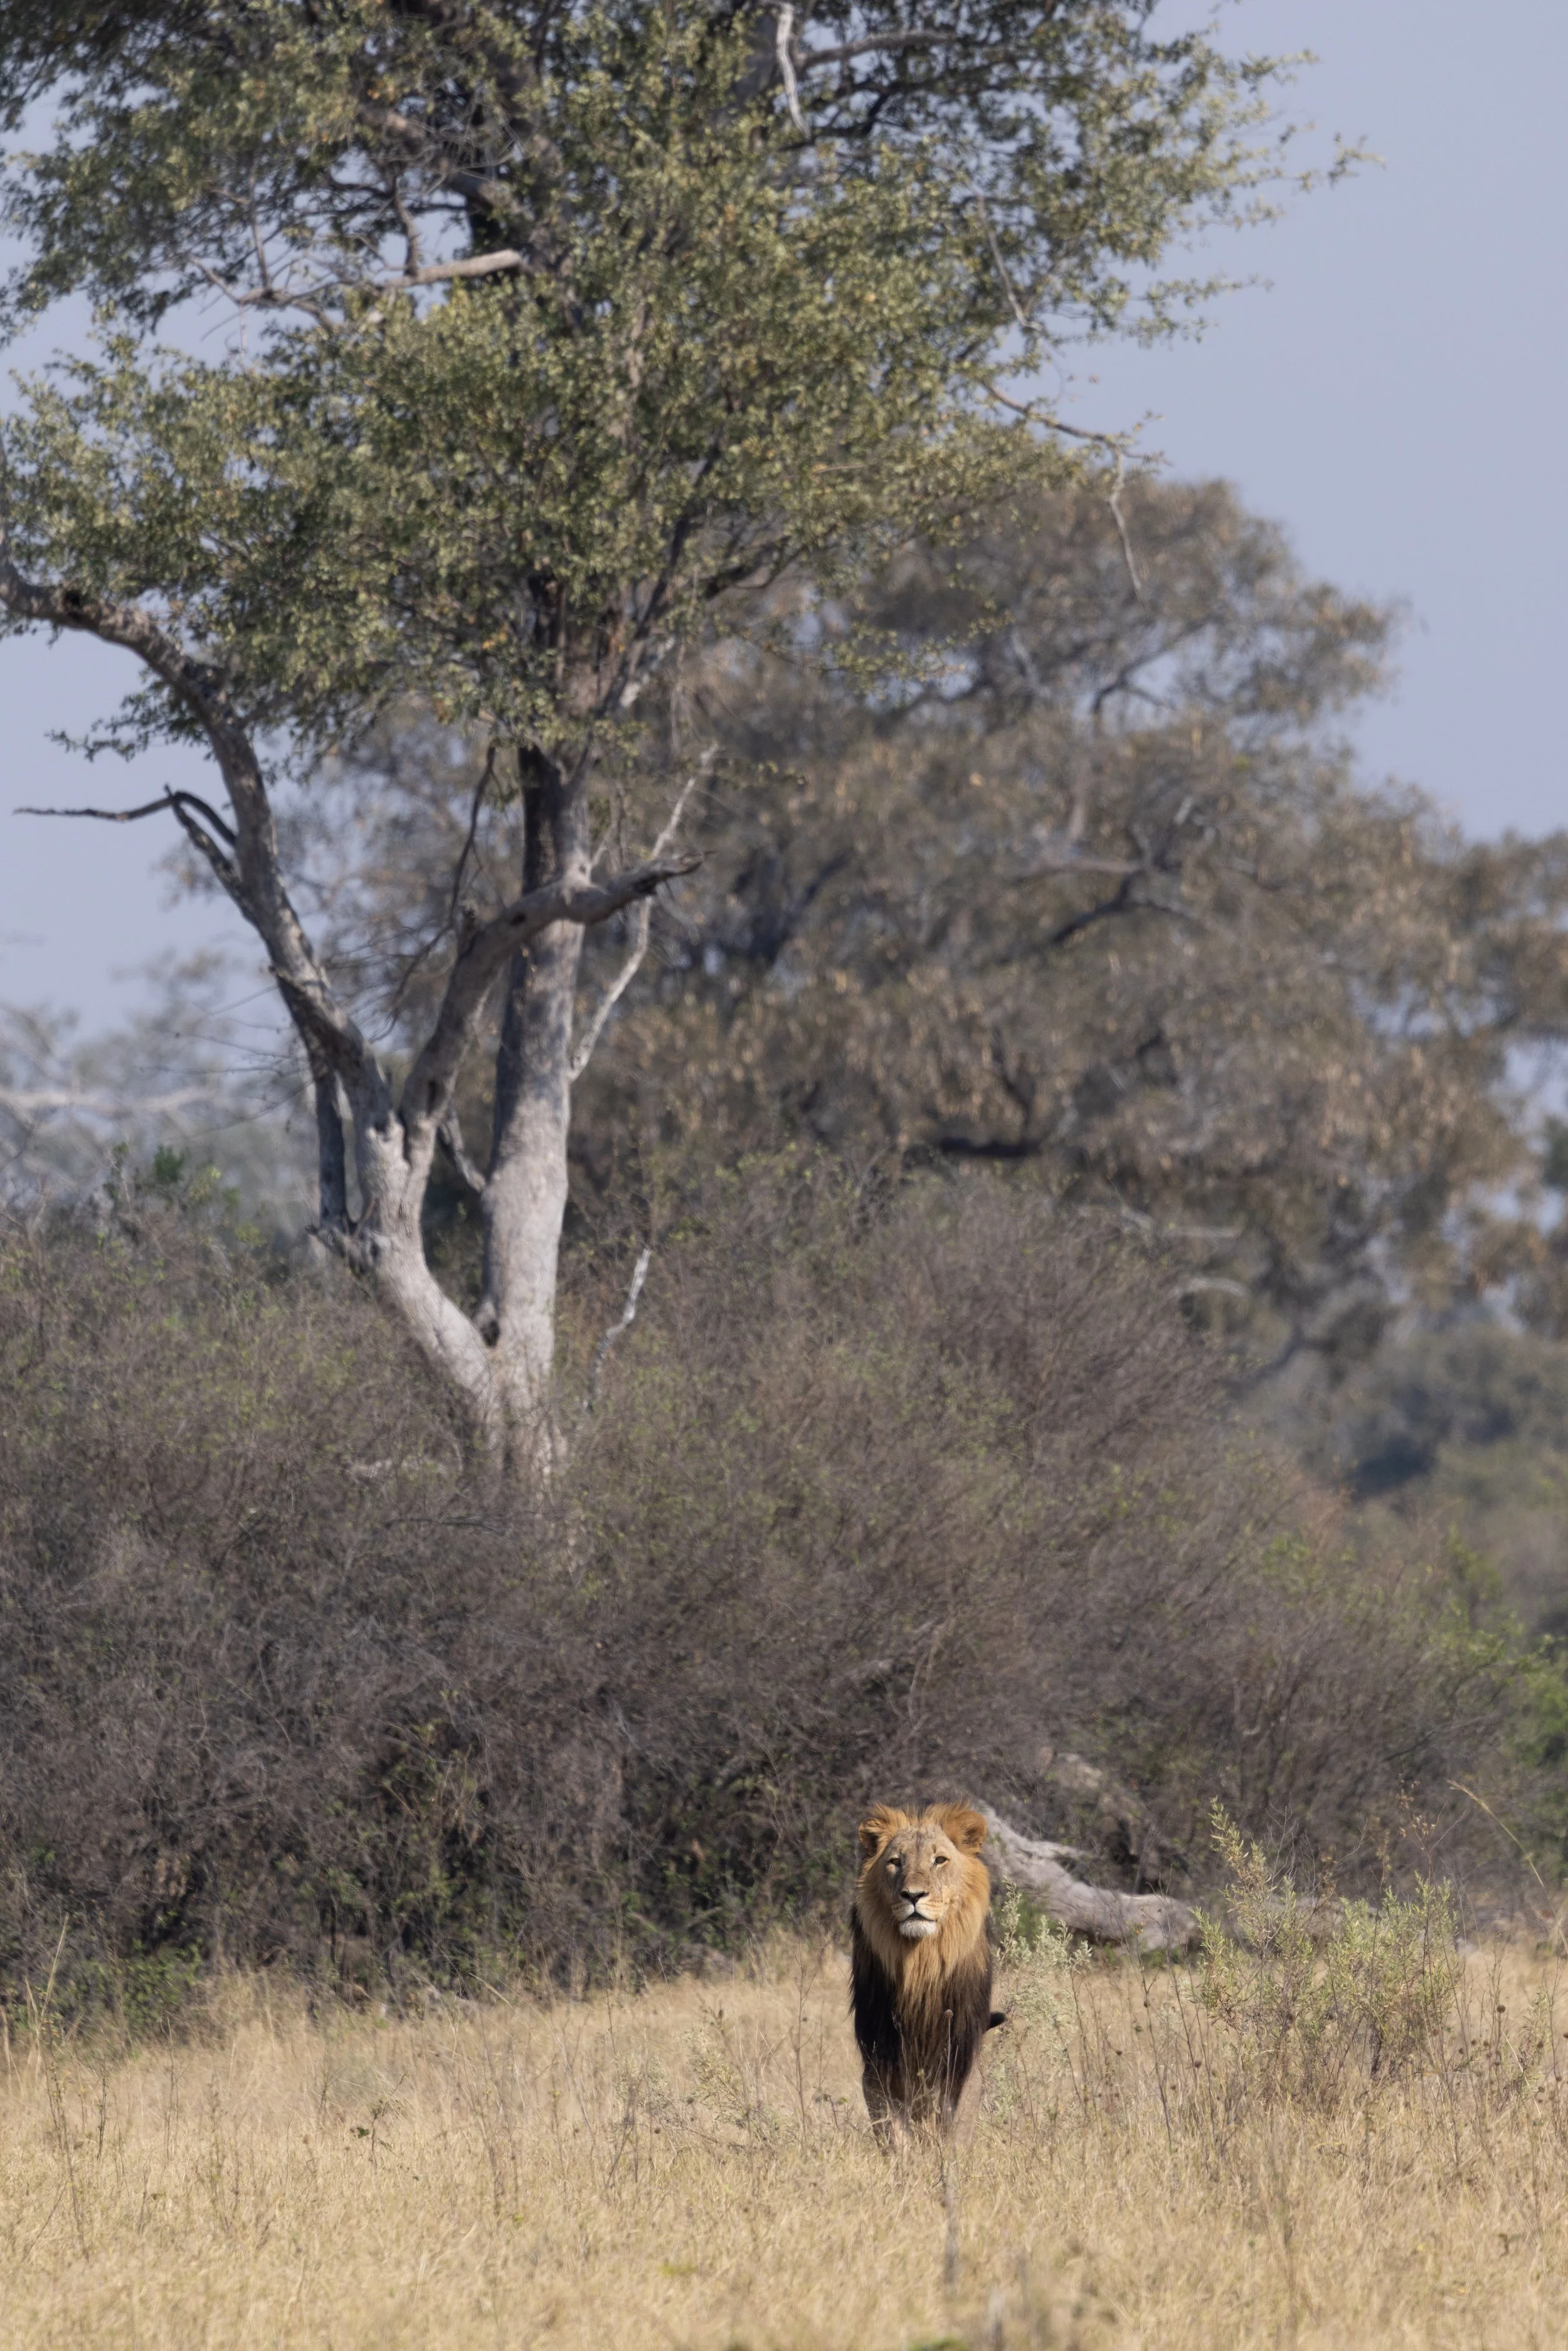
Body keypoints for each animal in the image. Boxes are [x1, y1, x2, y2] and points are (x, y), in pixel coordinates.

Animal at [851, 1801, 1004, 2143]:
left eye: (940, 1861)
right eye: (895, 1862)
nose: (913, 1895)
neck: (921, 1965)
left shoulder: (960, 2066)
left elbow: (953, 2136)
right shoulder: (878, 2066)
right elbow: (894, 2137)